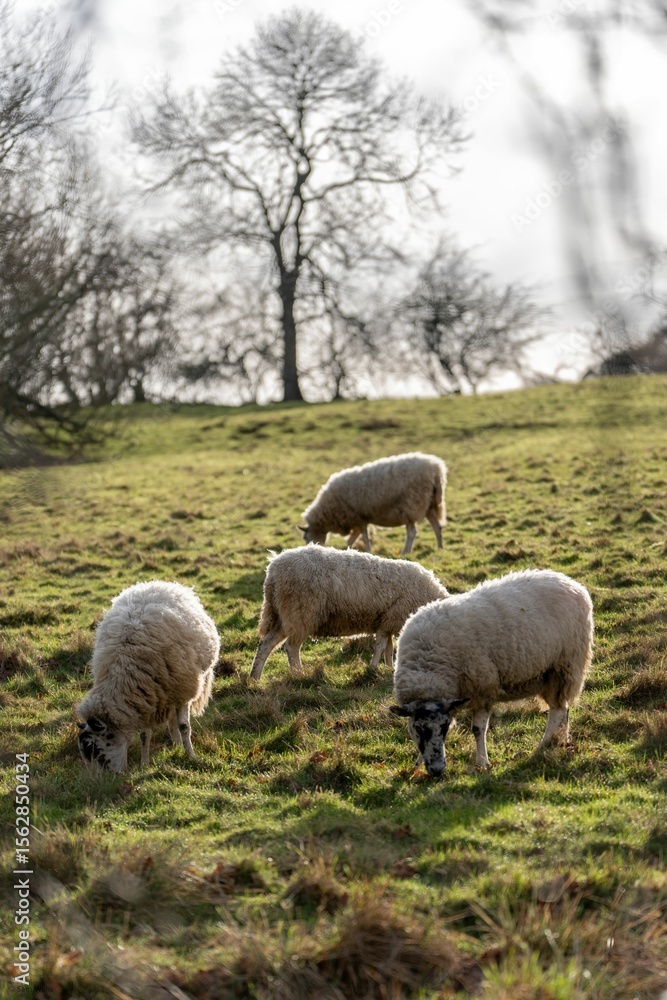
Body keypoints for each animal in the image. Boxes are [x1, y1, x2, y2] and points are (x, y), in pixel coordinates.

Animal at [76, 580, 220, 772]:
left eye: (94, 748)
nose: (98, 780)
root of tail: (157, 583)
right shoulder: (143, 701)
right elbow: (145, 735)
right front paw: (144, 764)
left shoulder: (182, 693)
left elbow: (184, 726)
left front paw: (191, 755)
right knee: (171, 721)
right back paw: (175, 743)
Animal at [250, 544, 449, 680]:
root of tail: (273, 570)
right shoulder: (390, 620)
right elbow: (381, 647)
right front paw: (373, 668)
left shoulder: (387, 621)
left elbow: (389, 648)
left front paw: (389, 668)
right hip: (301, 613)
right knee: (291, 647)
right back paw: (299, 674)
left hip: (284, 616)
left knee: (266, 645)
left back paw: (255, 677)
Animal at [299, 452, 447, 556]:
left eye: (306, 538)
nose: (310, 549)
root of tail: (437, 470)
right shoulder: (357, 519)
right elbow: (352, 539)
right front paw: (349, 549)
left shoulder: (359, 517)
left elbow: (364, 537)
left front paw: (368, 550)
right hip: (429, 505)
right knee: (437, 527)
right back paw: (440, 548)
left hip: (411, 504)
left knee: (412, 532)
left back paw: (405, 552)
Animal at [390, 569, 593, 777]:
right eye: (418, 728)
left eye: (445, 726)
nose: (437, 770)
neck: (429, 669)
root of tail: (571, 583)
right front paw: (417, 763)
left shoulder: (483, 690)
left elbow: (478, 730)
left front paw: (482, 762)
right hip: (548, 675)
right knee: (562, 708)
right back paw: (561, 741)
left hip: (564, 666)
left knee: (558, 711)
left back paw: (544, 745)